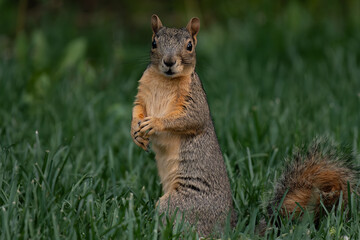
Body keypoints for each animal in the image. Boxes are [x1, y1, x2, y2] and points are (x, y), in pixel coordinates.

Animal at [131, 14, 358, 236]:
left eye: (189, 46)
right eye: (153, 42)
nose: (169, 62)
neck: (164, 80)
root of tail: (229, 227)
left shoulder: (195, 102)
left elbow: (188, 120)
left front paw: (155, 123)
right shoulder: (142, 93)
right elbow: (137, 109)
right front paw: (135, 131)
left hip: (180, 204)